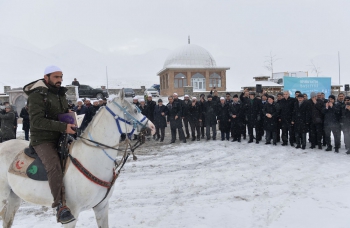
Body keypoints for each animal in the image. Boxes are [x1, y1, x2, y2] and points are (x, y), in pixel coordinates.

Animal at [0, 91, 154, 228]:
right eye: (134, 110)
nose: (152, 127)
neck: (91, 159)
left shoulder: (101, 207)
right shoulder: (71, 214)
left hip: (14, 197)